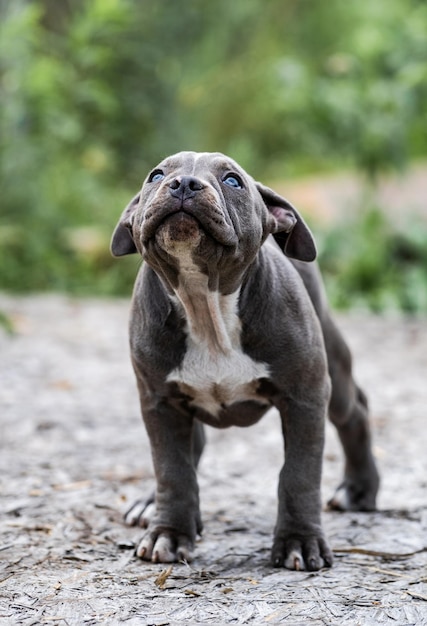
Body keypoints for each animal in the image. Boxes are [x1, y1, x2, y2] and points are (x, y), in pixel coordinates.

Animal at [111, 151, 382, 572]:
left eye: (233, 181)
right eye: (156, 175)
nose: (183, 184)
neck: (205, 304)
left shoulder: (305, 398)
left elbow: (298, 474)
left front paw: (299, 541)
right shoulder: (160, 402)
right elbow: (172, 469)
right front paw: (169, 533)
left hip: (333, 372)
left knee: (355, 411)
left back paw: (359, 490)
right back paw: (152, 504)